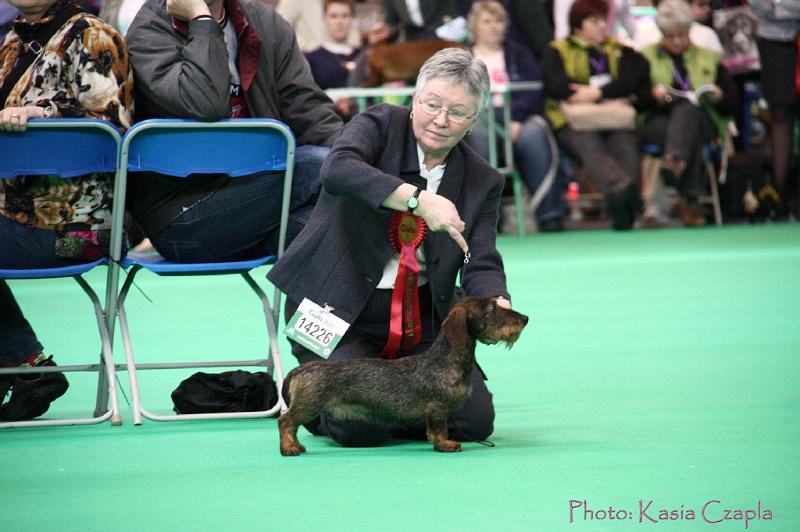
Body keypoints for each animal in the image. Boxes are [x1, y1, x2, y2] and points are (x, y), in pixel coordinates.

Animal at [278, 298, 528, 456]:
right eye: (491, 311)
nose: (525, 318)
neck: (445, 359)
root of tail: (301, 370)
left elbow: (433, 431)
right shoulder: (438, 409)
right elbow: (440, 429)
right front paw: (446, 444)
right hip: (308, 405)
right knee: (286, 422)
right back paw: (289, 448)